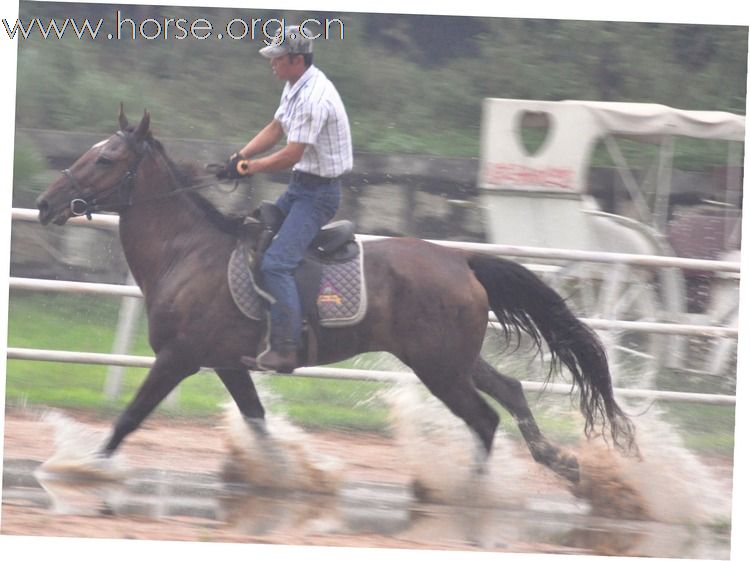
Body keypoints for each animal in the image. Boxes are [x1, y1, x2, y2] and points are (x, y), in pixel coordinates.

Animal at [32, 107, 636, 484]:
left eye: (105, 158)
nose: (45, 202)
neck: (187, 252)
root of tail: (460, 258)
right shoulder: (226, 363)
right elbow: (259, 425)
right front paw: (289, 479)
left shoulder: (177, 359)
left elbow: (129, 419)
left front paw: (81, 468)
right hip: (456, 359)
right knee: (509, 393)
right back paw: (559, 463)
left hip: (438, 367)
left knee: (484, 420)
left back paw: (470, 494)